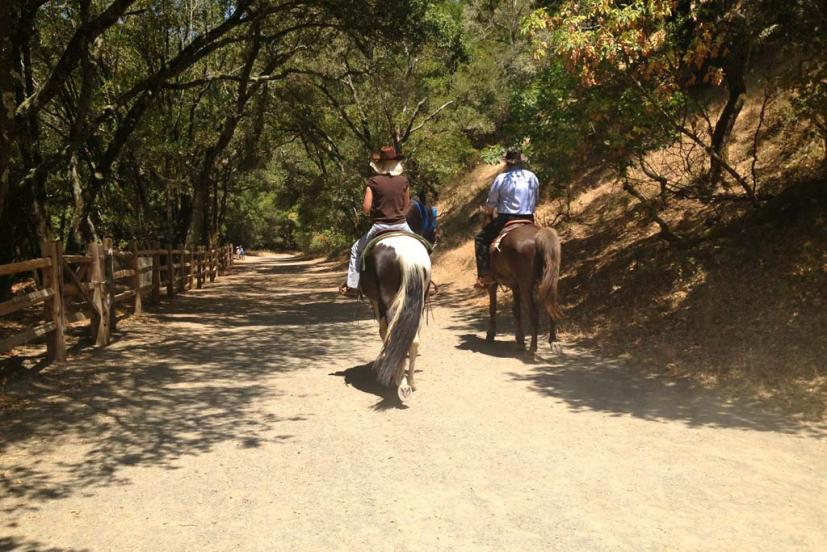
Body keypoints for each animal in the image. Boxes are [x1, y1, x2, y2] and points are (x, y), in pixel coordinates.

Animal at [486, 217, 564, 354]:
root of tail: (539, 235)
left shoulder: (494, 283)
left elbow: (493, 306)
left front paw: (490, 334)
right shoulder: (515, 286)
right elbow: (516, 310)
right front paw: (520, 340)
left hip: (526, 285)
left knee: (534, 313)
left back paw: (533, 347)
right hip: (549, 281)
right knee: (551, 307)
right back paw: (553, 342)